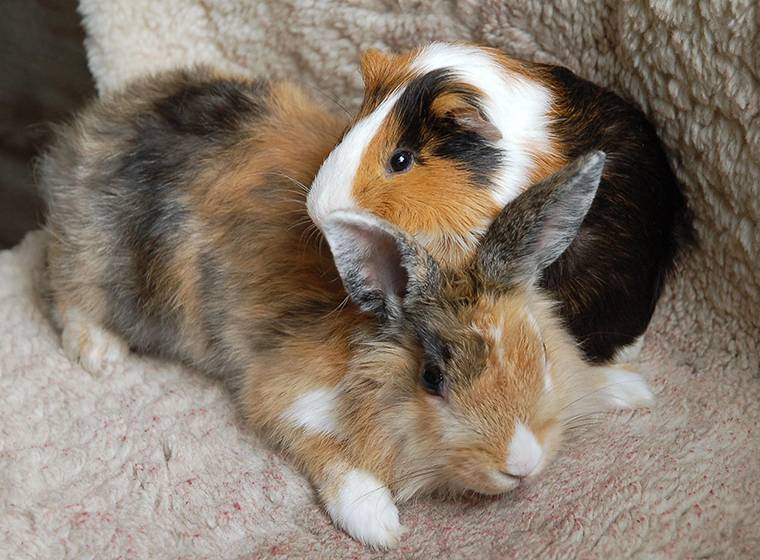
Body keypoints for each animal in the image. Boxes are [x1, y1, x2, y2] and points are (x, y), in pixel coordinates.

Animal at [40, 67, 653, 549]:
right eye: (432, 378)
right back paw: (100, 353)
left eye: (542, 356)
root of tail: (101, 121)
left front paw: (629, 388)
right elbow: (328, 455)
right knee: (66, 292)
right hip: (93, 260)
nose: (522, 465)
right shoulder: (281, 396)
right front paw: (377, 522)